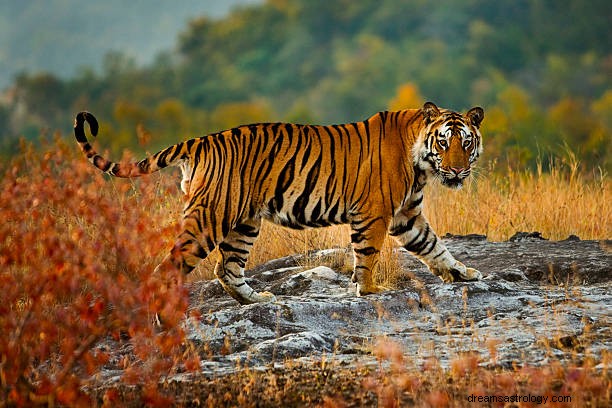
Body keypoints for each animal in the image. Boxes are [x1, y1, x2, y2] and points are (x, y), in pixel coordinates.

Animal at [73, 102, 482, 304]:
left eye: (467, 143)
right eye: (444, 142)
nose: (458, 171)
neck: (421, 164)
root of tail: (201, 140)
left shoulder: (407, 215)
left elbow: (434, 246)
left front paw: (463, 273)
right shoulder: (375, 213)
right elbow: (367, 255)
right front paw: (368, 291)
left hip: (243, 222)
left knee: (227, 268)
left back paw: (257, 300)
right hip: (209, 218)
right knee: (170, 267)